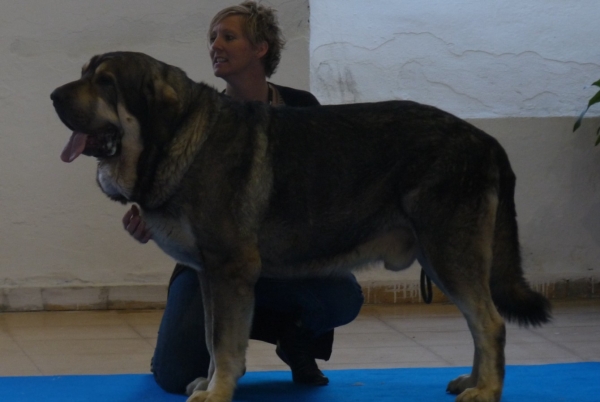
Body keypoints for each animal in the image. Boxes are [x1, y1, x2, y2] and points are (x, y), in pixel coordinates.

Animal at [50, 51, 548, 400]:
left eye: (105, 82)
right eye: (84, 72)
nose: (54, 95)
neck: (178, 138)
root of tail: (486, 140)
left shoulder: (228, 271)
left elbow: (222, 342)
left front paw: (218, 392)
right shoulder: (213, 277)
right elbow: (214, 339)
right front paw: (211, 384)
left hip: (449, 253)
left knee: (490, 323)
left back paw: (487, 390)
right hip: (441, 259)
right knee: (477, 323)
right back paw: (472, 380)